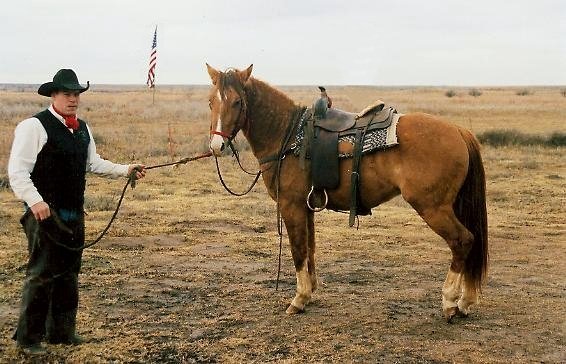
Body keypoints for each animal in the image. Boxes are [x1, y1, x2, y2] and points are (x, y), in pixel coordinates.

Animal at [206, 63, 490, 322]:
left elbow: (298, 250)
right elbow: (310, 248)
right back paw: (465, 301)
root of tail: (458, 131)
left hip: (433, 208)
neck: (287, 135)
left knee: (463, 241)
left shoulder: (291, 205)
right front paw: (309, 293)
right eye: (211, 102)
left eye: (237, 102)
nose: (217, 145)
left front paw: (298, 299)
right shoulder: (306, 207)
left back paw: (450, 302)